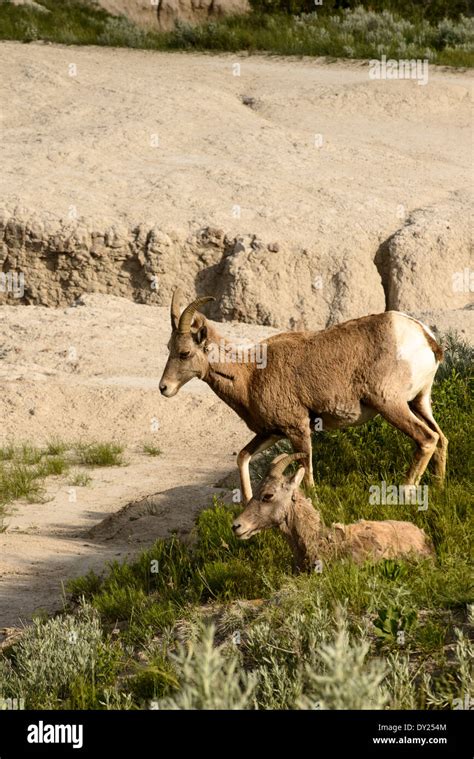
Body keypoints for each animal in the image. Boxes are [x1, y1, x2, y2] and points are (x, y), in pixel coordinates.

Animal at [160, 290, 448, 504]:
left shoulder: (297, 429)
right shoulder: (272, 432)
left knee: (426, 439)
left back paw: (406, 493)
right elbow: (242, 457)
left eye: (185, 353)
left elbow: (307, 476)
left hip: (391, 405)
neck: (250, 373)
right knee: (441, 439)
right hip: (419, 402)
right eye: (169, 348)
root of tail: (425, 338)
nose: (164, 388)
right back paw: (438, 488)